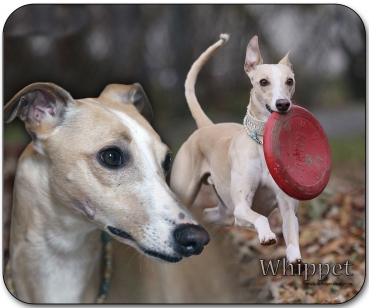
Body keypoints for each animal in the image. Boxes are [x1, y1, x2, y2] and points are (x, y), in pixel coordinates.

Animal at [170, 33, 302, 264]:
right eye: (263, 82)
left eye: (289, 81)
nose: (283, 104)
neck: (262, 144)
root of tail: (207, 126)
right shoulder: (241, 208)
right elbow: (260, 217)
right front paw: (267, 235)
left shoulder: (286, 207)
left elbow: (292, 229)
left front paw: (295, 258)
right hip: (188, 192)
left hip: (224, 214)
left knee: (208, 215)